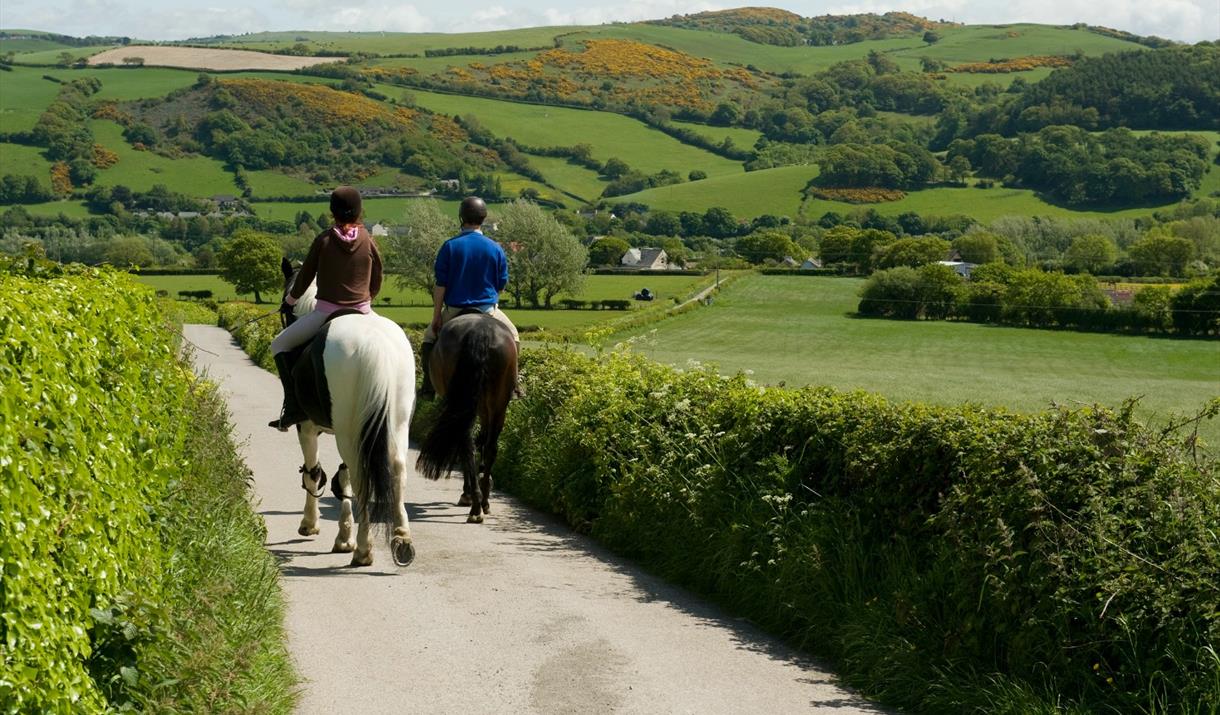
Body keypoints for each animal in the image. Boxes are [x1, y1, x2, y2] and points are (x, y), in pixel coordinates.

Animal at [276, 256, 414, 561]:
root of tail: (374, 344)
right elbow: (344, 476)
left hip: (348, 429)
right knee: (396, 469)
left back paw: (363, 549)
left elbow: (314, 472)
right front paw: (343, 537)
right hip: (394, 423)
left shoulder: (307, 427)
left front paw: (311, 525)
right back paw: (402, 539)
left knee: (360, 475)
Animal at [417, 312, 517, 522]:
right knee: (489, 446)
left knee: (467, 444)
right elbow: (483, 440)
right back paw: (483, 501)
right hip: (498, 401)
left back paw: (475, 504)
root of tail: (481, 331)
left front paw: (467, 491)